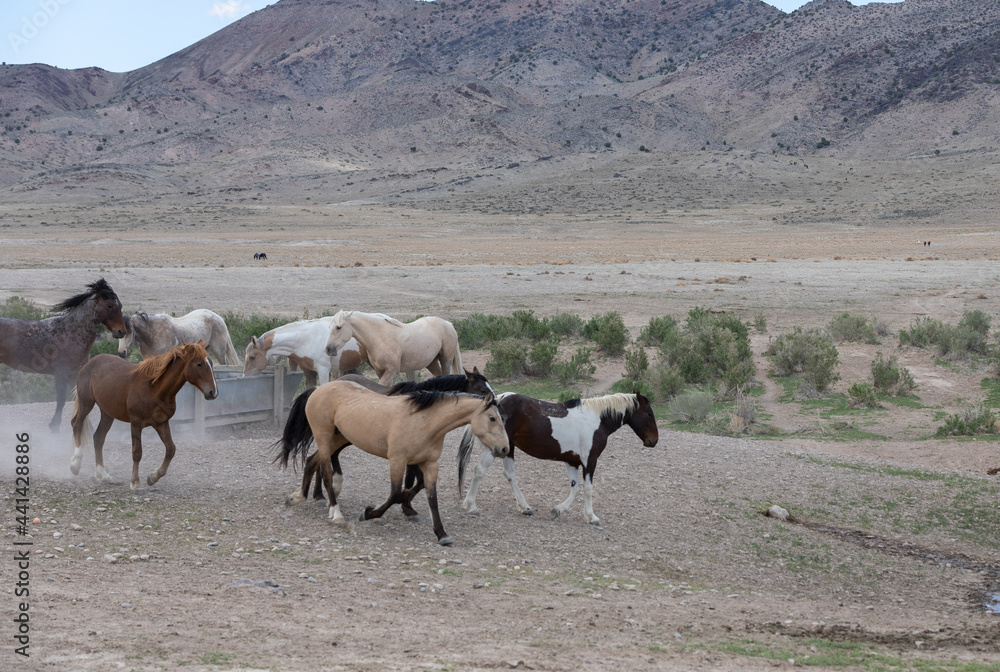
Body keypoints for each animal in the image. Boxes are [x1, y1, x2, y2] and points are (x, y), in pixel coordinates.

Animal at [0, 278, 127, 430]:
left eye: (120, 306)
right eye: (109, 305)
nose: (121, 331)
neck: (70, 332)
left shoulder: (74, 374)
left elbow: (79, 400)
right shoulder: (61, 372)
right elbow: (61, 399)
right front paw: (54, 427)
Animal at [71, 342, 219, 488]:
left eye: (211, 363)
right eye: (199, 364)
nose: (213, 392)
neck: (154, 389)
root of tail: (91, 362)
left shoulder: (161, 423)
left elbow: (171, 449)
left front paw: (153, 477)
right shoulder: (136, 422)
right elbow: (137, 452)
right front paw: (135, 482)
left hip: (107, 413)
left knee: (98, 437)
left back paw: (103, 475)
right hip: (86, 403)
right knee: (77, 425)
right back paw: (75, 465)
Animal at [274, 380, 508, 544]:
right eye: (492, 418)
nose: (504, 449)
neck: (425, 422)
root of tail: (318, 389)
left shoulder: (430, 464)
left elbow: (431, 498)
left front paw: (442, 534)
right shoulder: (398, 461)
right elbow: (396, 493)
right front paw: (369, 513)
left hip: (338, 438)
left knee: (312, 462)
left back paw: (298, 497)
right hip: (324, 437)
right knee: (327, 473)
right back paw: (336, 513)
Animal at [324, 308, 464, 384]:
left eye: (339, 327)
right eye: (329, 327)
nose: (328, 349)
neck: (380, 337)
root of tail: (447, 324)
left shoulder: (392, 371)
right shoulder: (380, 372)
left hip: (445, 359)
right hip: (432, 363)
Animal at [458, 392, 660, 528]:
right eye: (649, 413)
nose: (654, 441)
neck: (597, 420)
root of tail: (500, 398)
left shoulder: (572, 462)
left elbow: (575, 488)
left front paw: (558, 510)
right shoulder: (589, 461)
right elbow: (587, 489)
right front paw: (591, 516)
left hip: (507, 449)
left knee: (509, 475)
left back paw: (524, 507)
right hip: (496, 448)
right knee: (479, 470)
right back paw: (471, 505)